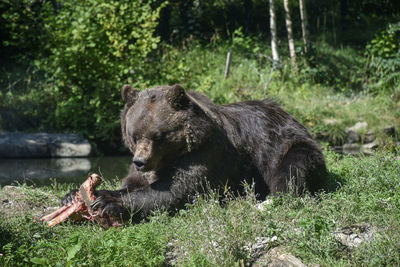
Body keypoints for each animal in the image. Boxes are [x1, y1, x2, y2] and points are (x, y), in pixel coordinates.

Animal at [61, 84, 324, 222]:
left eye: (157, 135)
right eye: (134, 134)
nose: (141, 161)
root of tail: (291, 116)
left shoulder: (206, 154)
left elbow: (175, 190)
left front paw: (109, 204)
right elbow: (131, 184)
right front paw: (76, 194)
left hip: (287, 145)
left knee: (292, 169)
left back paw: (269, 199)